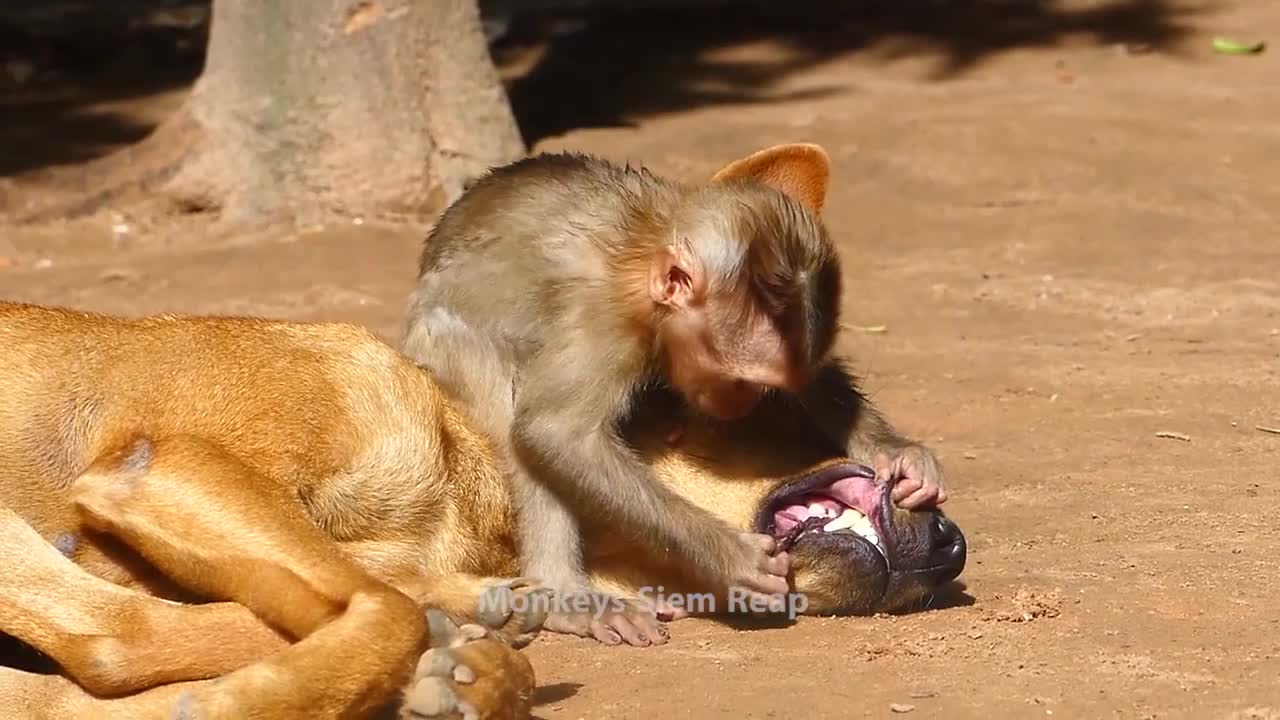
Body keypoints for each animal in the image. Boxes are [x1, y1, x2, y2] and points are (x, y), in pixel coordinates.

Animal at [404, 141, 849, 645]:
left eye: (764, 389)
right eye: (739, 382)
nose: (743, 405)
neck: (648, 249)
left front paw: (891, 454)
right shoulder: (605, 320)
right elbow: (556, 433)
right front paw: (732, 558)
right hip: (441, 343)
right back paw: (566, 598)